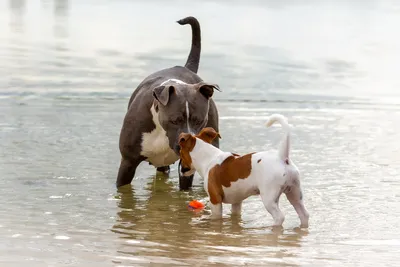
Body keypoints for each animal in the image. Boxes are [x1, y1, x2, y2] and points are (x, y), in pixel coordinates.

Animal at [178, 114, 310, 227]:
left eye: (180, 152)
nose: (182, 170)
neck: (209, 158)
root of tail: (282, 158)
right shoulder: (237, 202)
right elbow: (235, 216)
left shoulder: (215, 201)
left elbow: (216, 218)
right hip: (295, 194)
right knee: (304, 214)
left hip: (269, 198)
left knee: (279, 217)